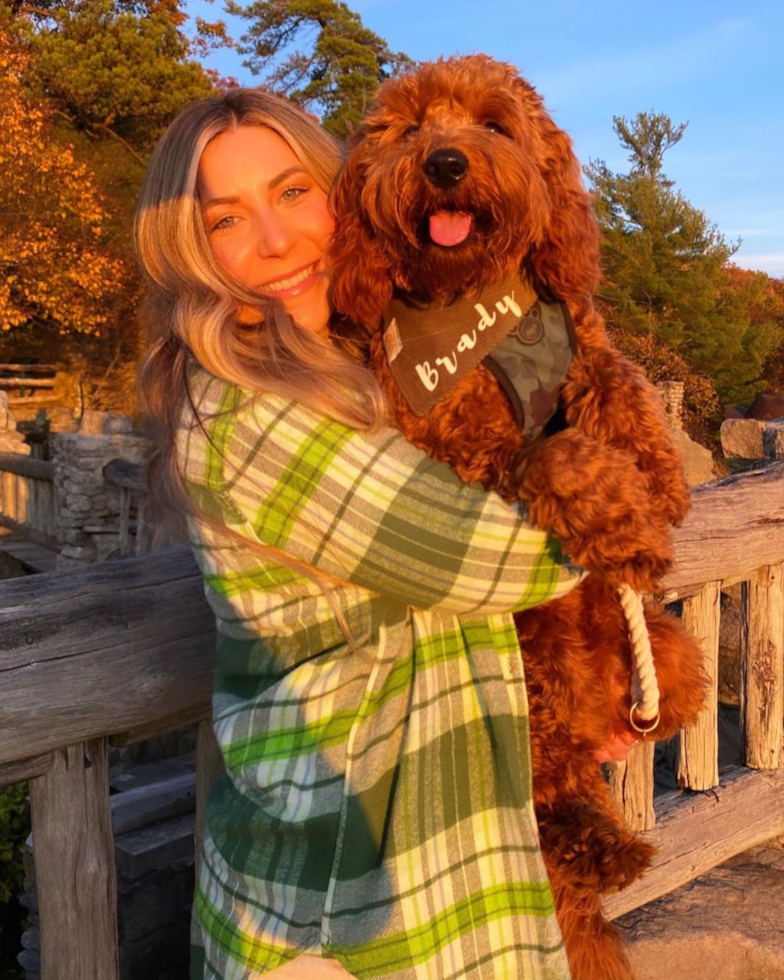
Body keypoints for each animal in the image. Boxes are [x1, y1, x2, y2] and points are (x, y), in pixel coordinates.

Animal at [328, 55, 708, 980]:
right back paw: (594, 844)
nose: (445, 163)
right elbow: (545, 456)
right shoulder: (448, 454)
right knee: (543, 785)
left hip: (668, 654)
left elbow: (622, 395)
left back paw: (610, 846)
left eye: (495, 125)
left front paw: (646, 497)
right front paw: (618, 515)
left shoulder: (586, 347)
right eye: (411, 127)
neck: (470, 306)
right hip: (523, 676)